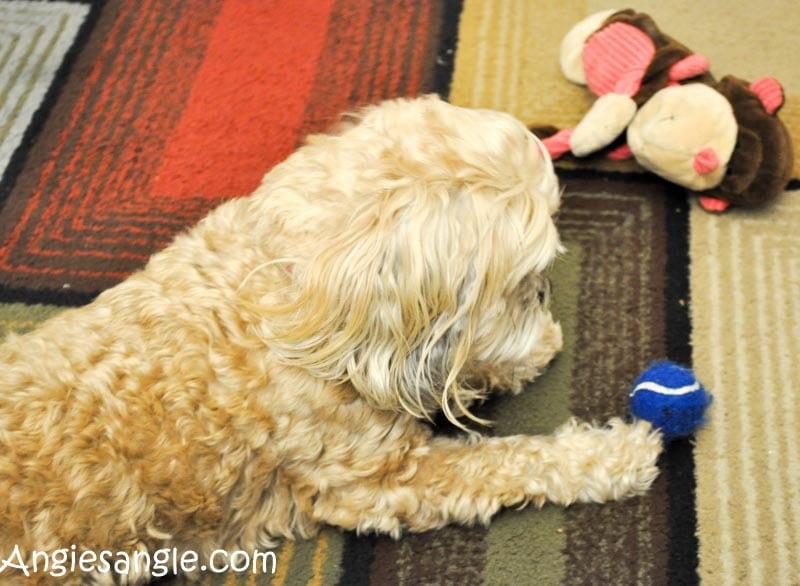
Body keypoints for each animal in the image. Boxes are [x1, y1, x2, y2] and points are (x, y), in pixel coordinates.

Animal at [0, 93, 664, 580]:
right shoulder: (380, 484)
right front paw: (616, 453)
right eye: (527, 279)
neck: (286, 291)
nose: (546, 295)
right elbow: (511, 461)